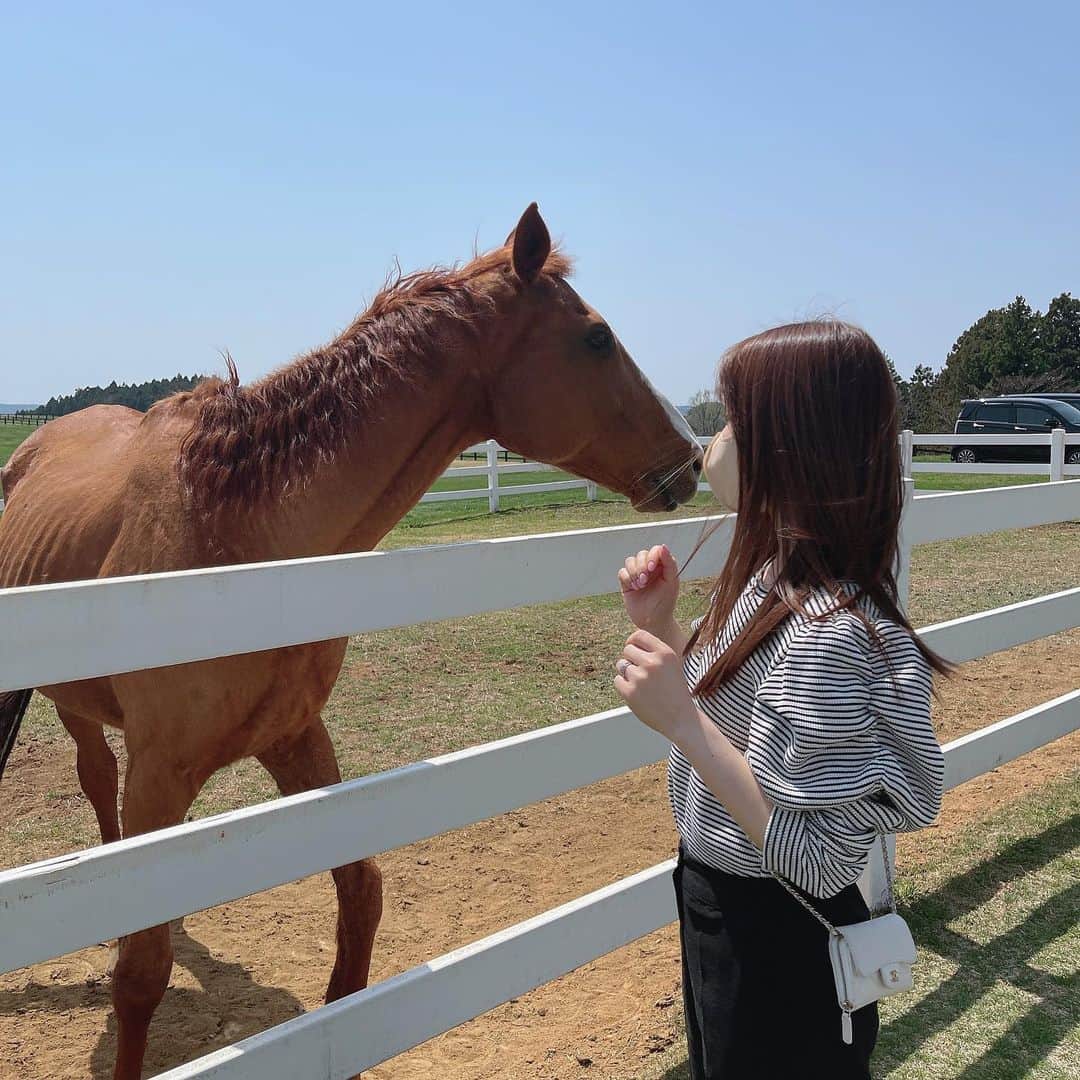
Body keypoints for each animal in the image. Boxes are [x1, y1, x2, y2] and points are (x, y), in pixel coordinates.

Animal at [0, 203, 701, 1079]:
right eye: (597, 338)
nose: (691, 456)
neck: (235, 540)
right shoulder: (160, 772)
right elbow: (140, 975)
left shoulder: (295, 737)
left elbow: (360, 891)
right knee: (100, 794)